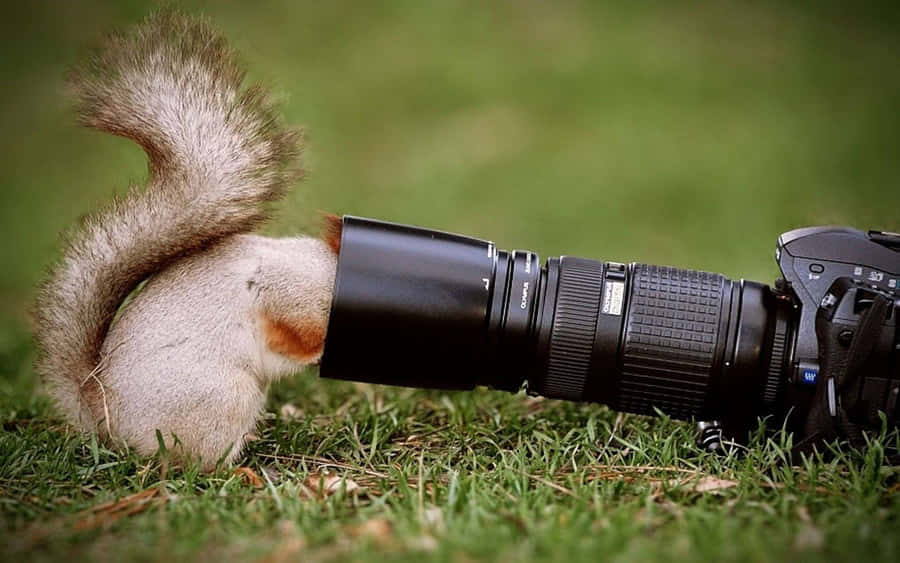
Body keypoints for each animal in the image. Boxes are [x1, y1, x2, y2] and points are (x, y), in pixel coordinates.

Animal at [33, 10, 343, 469]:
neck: (330, 272)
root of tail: (110, 422)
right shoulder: (286, 292)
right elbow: (289, 332)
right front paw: (317, 352)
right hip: (222, 400)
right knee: (196, 463)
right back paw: (238, 470)